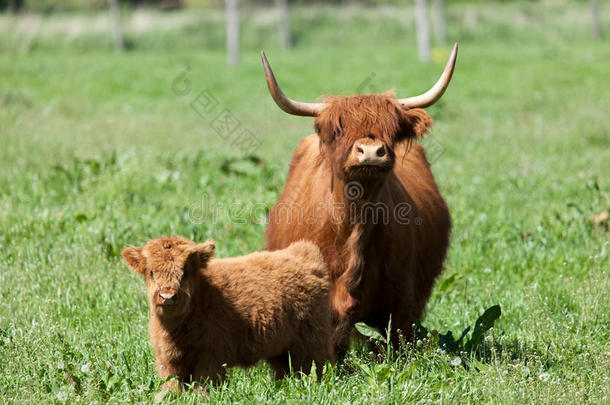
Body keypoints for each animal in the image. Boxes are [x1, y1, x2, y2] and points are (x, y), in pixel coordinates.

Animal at [120, 235, 332, 390]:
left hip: (313, 340)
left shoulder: (211, 357)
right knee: (287, 371)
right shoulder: (168, 359)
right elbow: (171, 388)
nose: (167, 295)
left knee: (317, 367)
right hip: (281, 349)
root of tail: (302, 252)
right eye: (151, 272)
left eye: (186, 270)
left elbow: (205, 387)